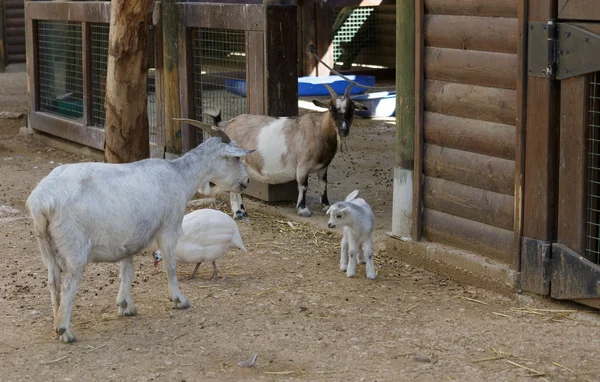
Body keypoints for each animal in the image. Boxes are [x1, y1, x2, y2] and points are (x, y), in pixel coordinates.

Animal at [27, 119, 252, 344]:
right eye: (236, 158)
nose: (246, 181)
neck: (180, 175)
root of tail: (42, 201)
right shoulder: (169, 228)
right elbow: (170, 266)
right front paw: (179, 300)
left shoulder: (129, 237)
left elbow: (127, 270)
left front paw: (125, 306)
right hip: (74, 245)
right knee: (68, 284)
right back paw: (65, 331)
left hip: (45, 244)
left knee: (53, 281)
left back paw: (56, 321)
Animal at [204, 82, 368, 219]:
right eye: (331, 109)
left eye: (352, 109)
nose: (344, 130)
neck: (318, 130)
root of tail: (226, 125)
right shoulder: (303, 165)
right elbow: (303, 185)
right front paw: (303, 209)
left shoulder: (323, 167)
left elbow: (324, 184)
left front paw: (326, 206)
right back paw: (238, 213)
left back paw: (243, 211)